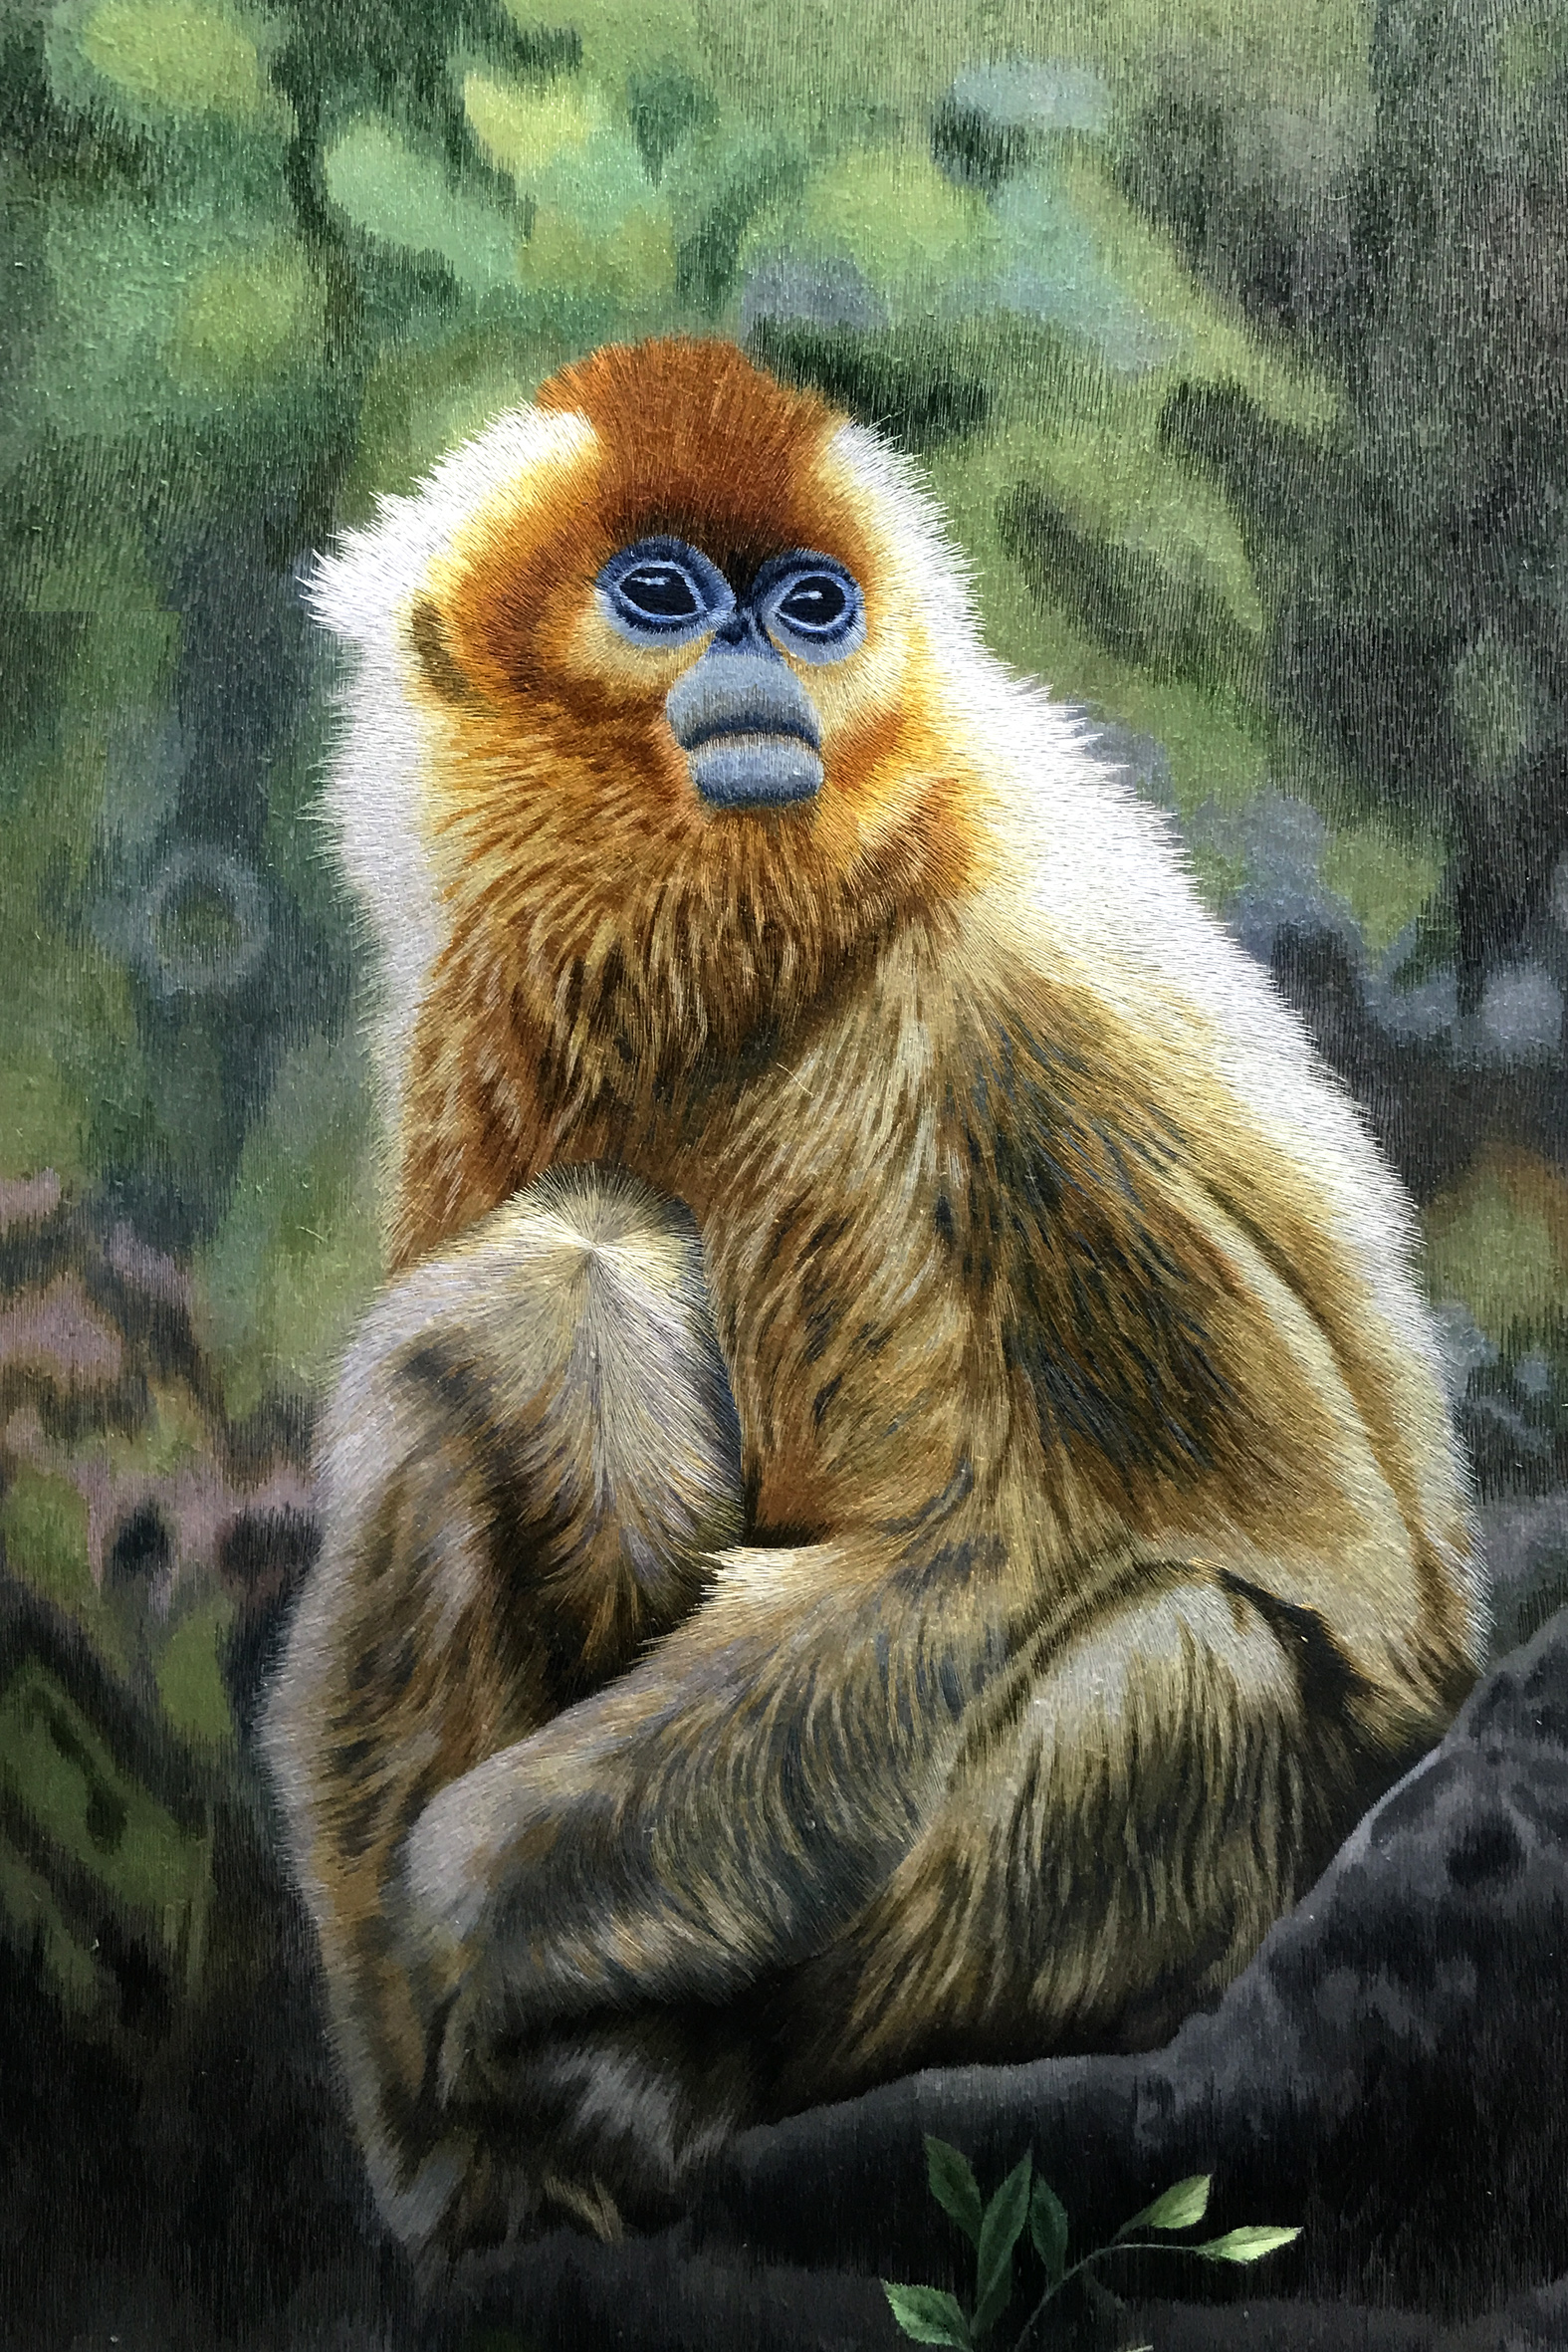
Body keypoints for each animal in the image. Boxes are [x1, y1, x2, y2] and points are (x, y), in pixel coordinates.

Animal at [262, 337, 1486, 2279]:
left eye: (812, 603)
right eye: (663, 593)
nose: (762, 649)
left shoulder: (1020, 1014)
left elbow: (1181, 1546)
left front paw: (445, 1918)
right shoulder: (478, 1005)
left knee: (1179, 1652)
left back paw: (646, 2088)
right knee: (539, 1298)